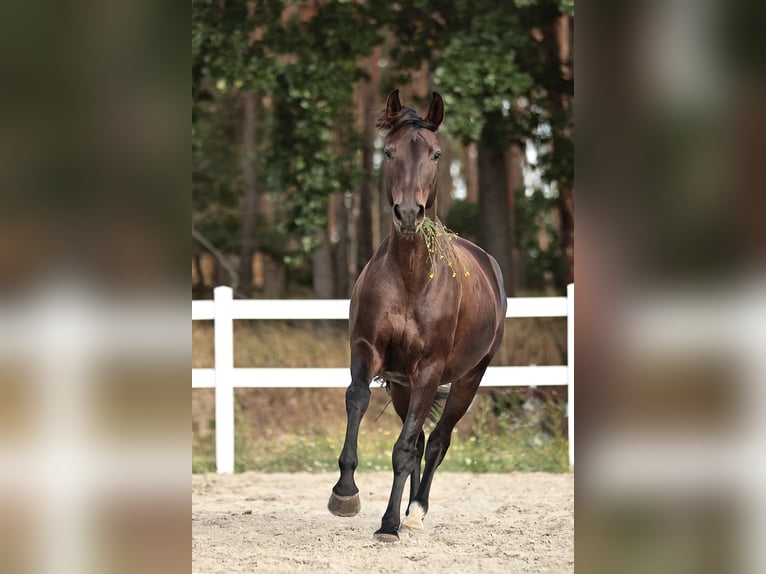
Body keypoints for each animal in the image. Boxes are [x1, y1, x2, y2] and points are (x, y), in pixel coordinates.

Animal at [328, 89, 507, 542]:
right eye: (388, 152)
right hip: (402, 386)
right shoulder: (368, 350)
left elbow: (404, 448)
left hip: (467, 379)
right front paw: (345, 493)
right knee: (423, 438)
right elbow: (357, 400)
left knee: (437, 441)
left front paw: (389, 524)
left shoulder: (429, 369)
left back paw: (414, 512)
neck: (411, 275)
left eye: (436, 154)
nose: (409, 214)